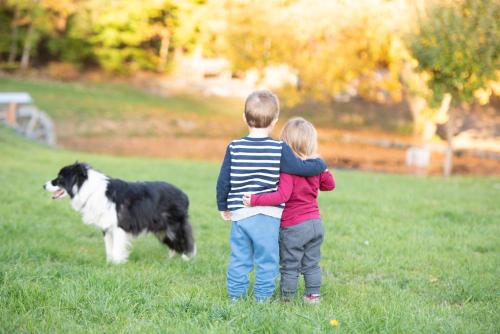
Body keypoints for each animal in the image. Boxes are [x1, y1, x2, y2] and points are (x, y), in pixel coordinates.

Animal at [43, 163, 195, 264]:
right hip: (162, 229)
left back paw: (187, 259)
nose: (44, 185)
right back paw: (171, 258)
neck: (89, 189)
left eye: (60, 177)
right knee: (174, 243)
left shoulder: (119, 226)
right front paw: (109, 263)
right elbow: (108, 248)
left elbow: (116, 248)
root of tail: (184, 195)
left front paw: (116, 265)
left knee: (186, 240)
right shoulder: (107, 227)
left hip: (174, 225)